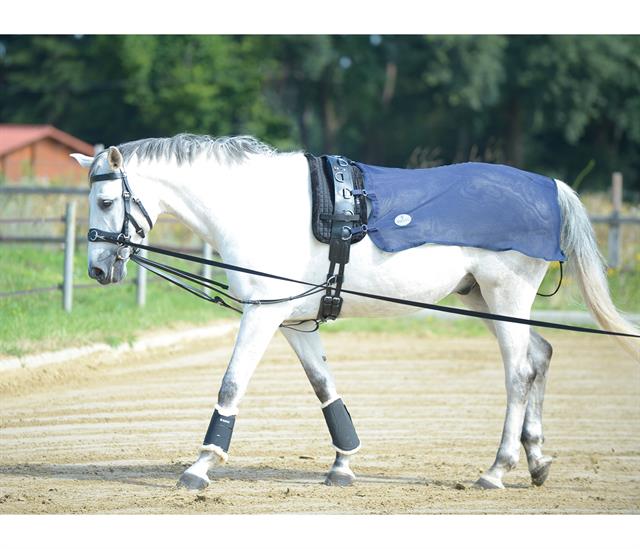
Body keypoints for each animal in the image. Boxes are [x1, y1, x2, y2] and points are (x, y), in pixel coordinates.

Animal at [71, 135, 640, 490]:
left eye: (105, 202)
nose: (97, 268)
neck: (256, 208)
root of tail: (548, 187)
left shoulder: (260, 315)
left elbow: (231, 385)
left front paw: (202, 465)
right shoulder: (293, 321)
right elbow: (325, 389)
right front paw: (343, 464)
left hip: (506, 298)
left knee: (519, 373)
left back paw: (497, 470)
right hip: (482, 298)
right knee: (540, 356)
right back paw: (537, 460)